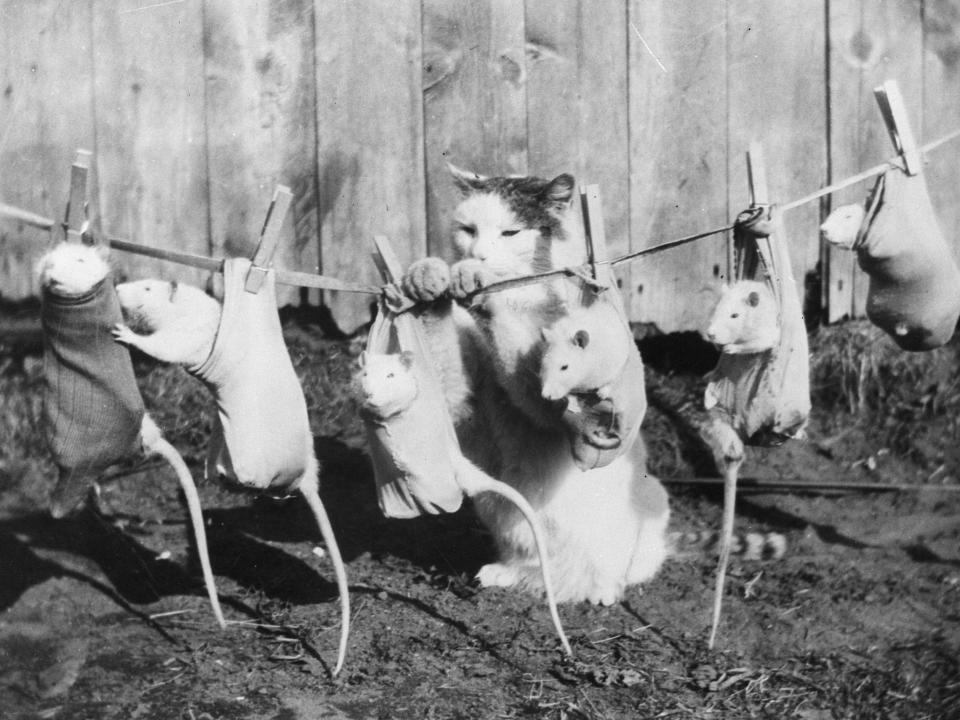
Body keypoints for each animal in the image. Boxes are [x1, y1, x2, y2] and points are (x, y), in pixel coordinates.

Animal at [400, 166, 668, 604]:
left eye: (510, 233)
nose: (479, 256)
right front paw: (428, 276)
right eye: (468, 230)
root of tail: (563, 589)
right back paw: (508, 575)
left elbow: (525, 368)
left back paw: (602, 591)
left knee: (621, 570)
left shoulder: (556, 402)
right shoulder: (460, 400)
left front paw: (478, 281)